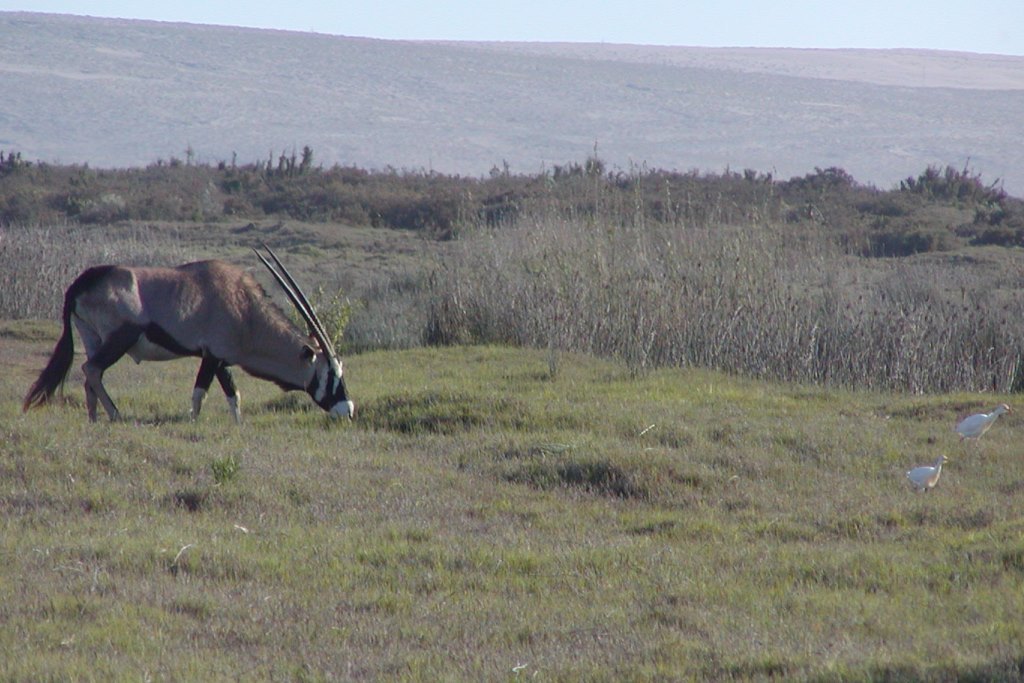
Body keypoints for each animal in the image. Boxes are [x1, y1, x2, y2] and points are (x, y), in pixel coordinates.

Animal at [19, 245, 354, 423]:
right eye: (331, 375)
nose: (348, 410)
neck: (246, 309)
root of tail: (81, 283)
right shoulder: (212, 356)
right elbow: (199, 393)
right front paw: (193, 424)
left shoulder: (221, 361)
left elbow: (234, 395)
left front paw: (238, 426)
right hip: (118, 339)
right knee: (92, 369)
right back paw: (115, 415)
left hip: (92, 338)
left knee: (91, 374)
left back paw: (94, 419)